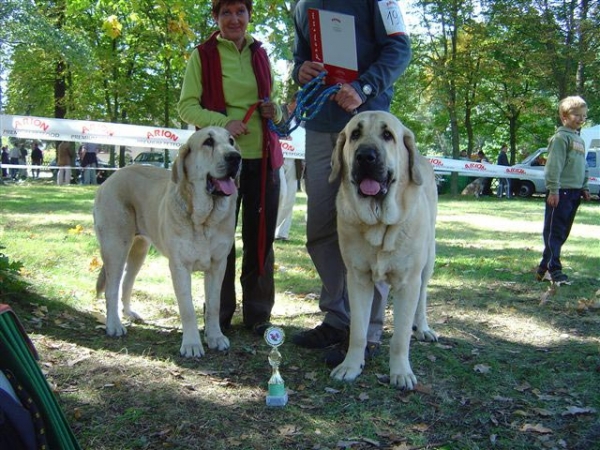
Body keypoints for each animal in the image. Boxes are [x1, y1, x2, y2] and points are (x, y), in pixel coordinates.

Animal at [94, 127, 241, 358]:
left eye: (232, 141)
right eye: (208, 142)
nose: (235, 157)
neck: (203, 220)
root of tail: (111, 177)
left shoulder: (218, 265)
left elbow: (214, 305)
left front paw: (215, 337)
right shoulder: (179, 267)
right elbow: (187, 308)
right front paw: (192, 344)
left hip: (139, 250)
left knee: (127, 282)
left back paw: (129, 313)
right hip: (116, 247)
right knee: (112, 287)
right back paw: (114, 325)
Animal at [328, 110, 436, 388]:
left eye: (388, 135)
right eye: (355, 134)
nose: (365, 156)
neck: (379, 225)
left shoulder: (408, 283)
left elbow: (400, 338)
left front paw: (401, 373)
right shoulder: (358, 279)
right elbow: (358, 330)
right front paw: (351, 366)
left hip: (428, 262)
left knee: (422, 298)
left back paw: (423, 328)